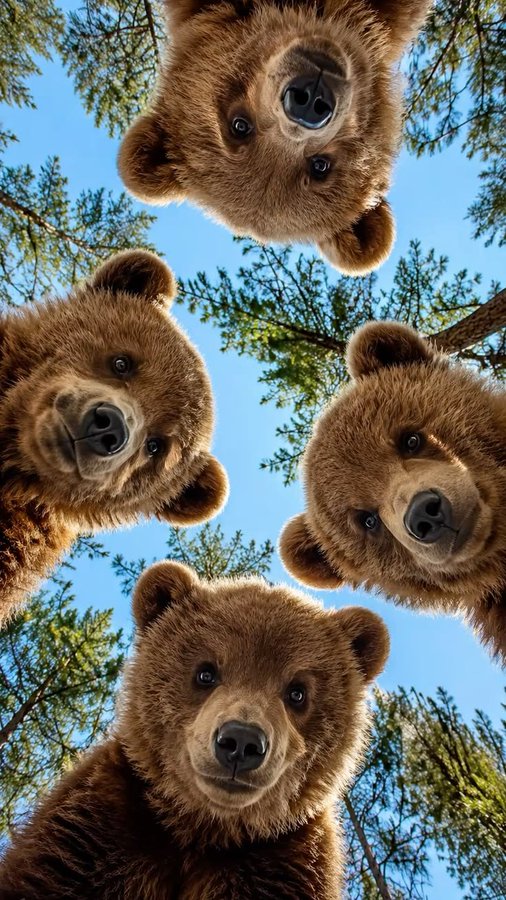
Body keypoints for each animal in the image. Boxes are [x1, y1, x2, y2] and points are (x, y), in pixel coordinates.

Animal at [0, 560, 390, 899]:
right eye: (205, 672)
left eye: (297, 692)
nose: (241, 742)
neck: (200, 828)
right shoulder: (100, 830)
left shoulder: (282, 859)